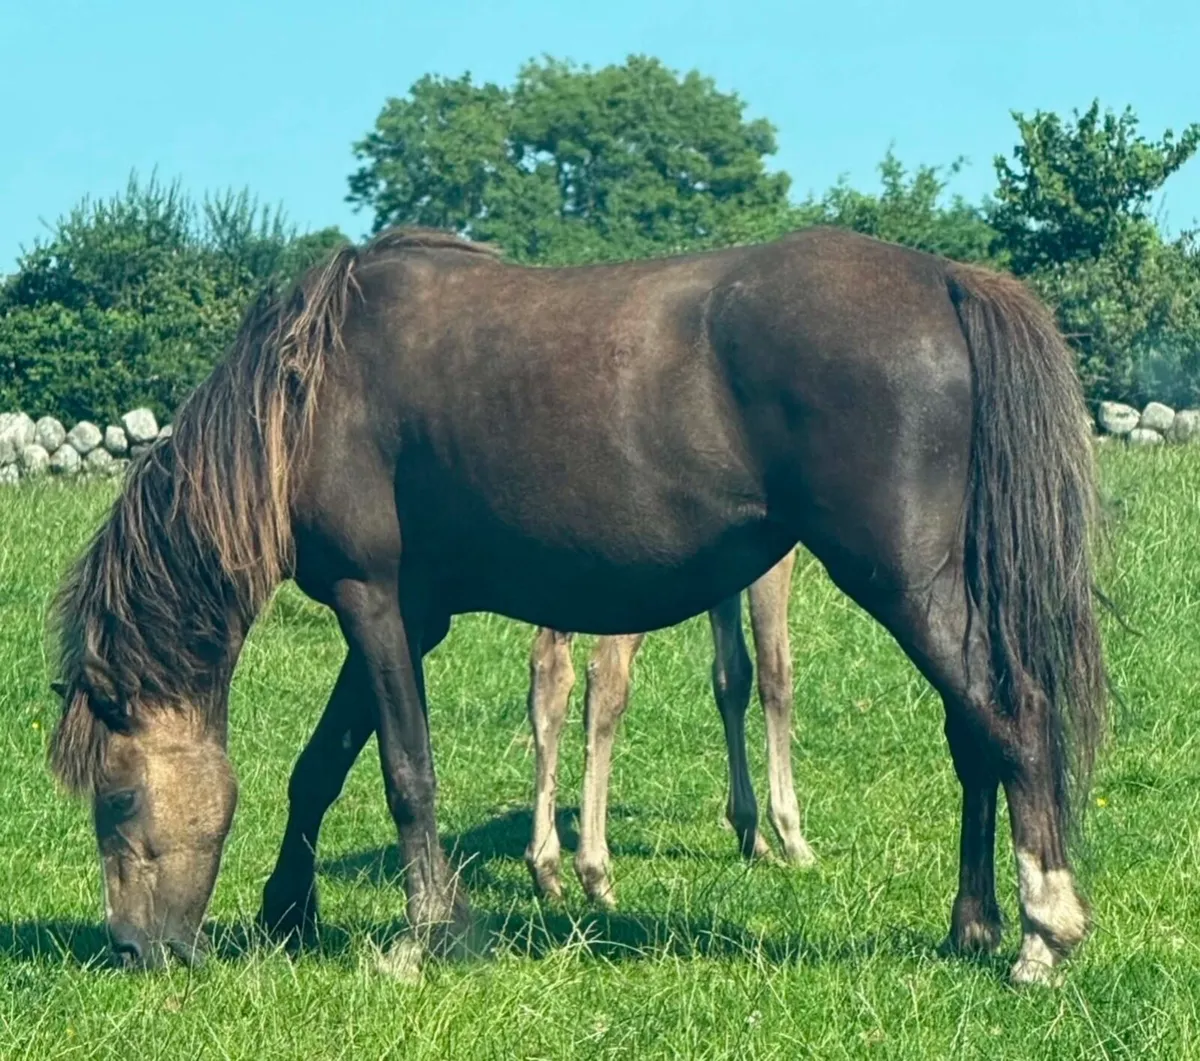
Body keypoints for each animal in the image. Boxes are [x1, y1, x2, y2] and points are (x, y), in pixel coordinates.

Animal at [523, 552, 814, 909]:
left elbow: (732, 675)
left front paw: (750, 834)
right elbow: (775, 674)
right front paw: (793, 839)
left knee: (549, 671)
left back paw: (546, 869)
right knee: (605, 676)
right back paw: (596, 875)